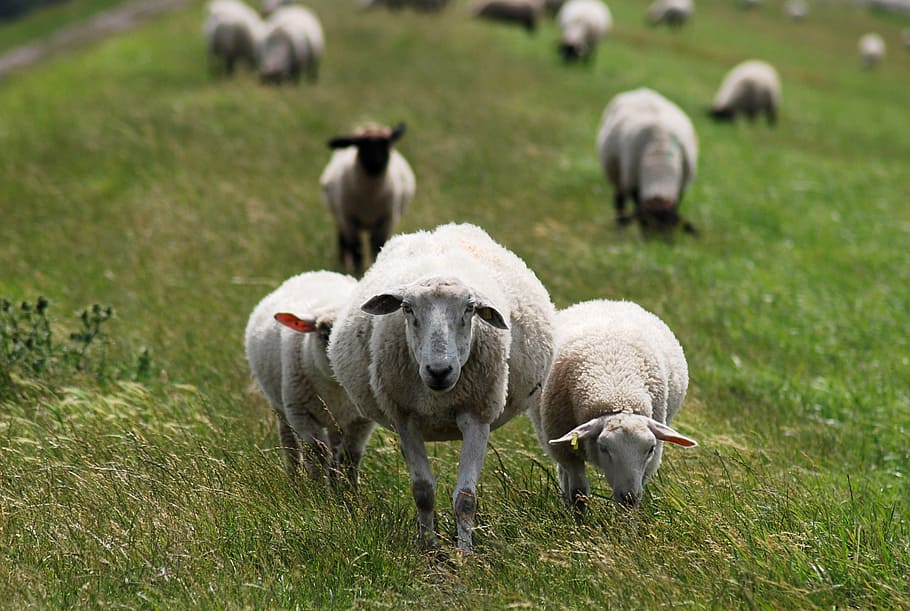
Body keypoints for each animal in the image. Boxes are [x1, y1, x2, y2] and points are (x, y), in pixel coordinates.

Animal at [244, 271, 376, 484]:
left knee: (336, 449)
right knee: (290, 443)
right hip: (281, 405)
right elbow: (317, 453)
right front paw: (317, 489)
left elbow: (350, 456)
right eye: (324, 333)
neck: (336, 388)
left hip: (336, 419)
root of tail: (316, 273)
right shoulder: (300, 412)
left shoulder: (361, 419)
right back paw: (295, 480)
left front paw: (348, 491)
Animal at [320, 122, 416, 276]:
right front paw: (358, 273)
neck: (370, 196)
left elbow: (377, 247)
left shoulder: (386, 220)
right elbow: (356, 249)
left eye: (386, 143)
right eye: (361, 145)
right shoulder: (349, 219)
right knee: (343, 242)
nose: (377, 163)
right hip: (339, 216)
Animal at [328, 222, 556, 551]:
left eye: (470, 309)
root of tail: (440, 229)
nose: (439, 371)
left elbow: (466, 499)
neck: (437, 397)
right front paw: (429, 548)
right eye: (406, 308)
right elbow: (423, 491)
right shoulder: (405, 419)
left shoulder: (478, 417)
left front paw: (464, 553)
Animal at [529, 299, 698, 511]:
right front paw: (578, 518)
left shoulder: (649, 464)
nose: (629, 498)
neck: (617, 390)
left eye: (650, 449)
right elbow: (578, 494)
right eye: (604, 447)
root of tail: (607, 301)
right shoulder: (567, 453)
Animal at [597, 87, 699, 234]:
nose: (656, 241)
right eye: (645, 223)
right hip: (617, 176)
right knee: (619, 200)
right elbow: (635, 204)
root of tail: (640, 90)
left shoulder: (681, 188)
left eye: (670, 225)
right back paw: (620, 227)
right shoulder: (633, 183)